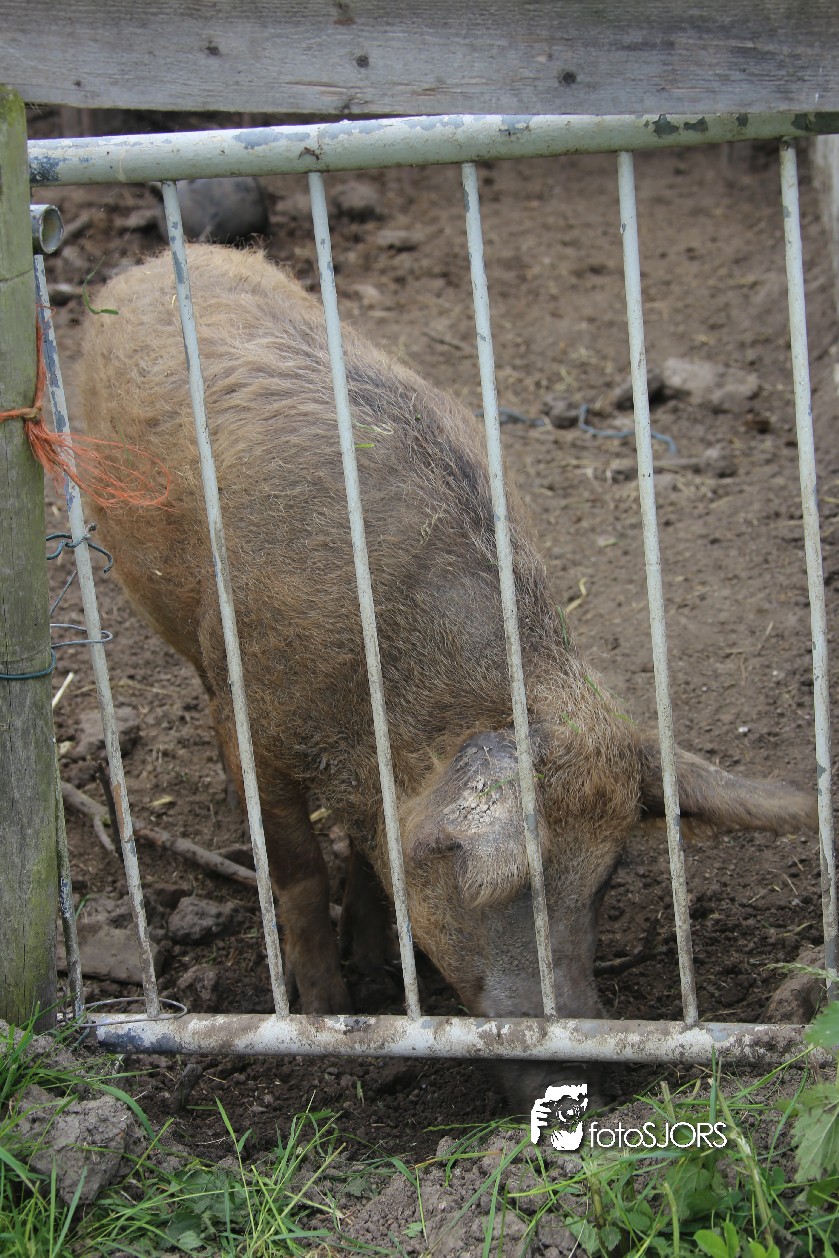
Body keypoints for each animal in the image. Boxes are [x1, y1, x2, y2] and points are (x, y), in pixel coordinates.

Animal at [79, 246, 816, 1109]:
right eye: (491, 879)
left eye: (606, 877)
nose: (578, 1079)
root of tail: (158, 258)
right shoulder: (247, 719)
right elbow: (297, 872)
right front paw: (331, 1019)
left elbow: (371, 862)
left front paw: (377, 972)